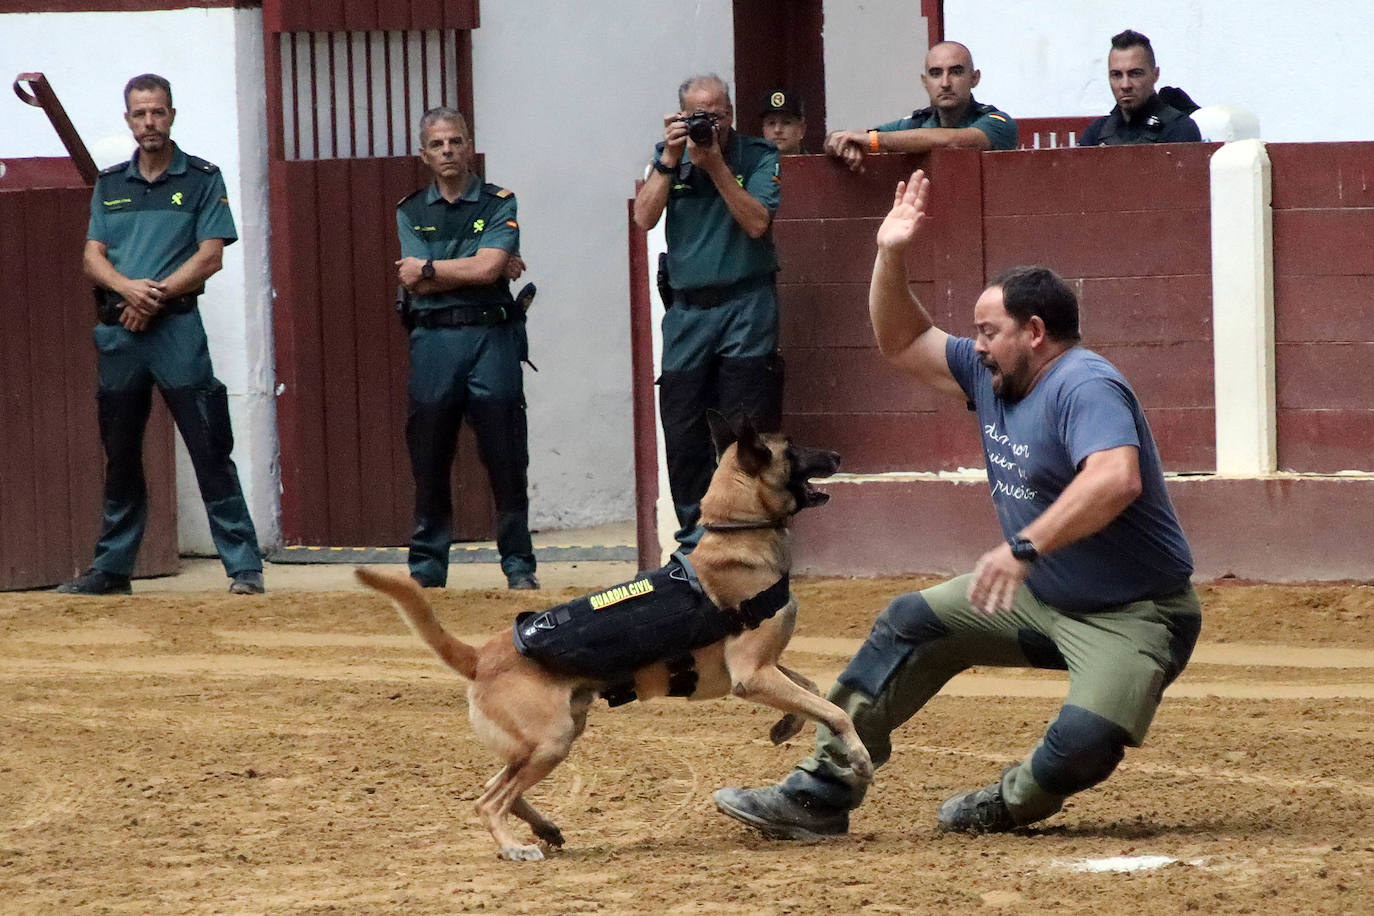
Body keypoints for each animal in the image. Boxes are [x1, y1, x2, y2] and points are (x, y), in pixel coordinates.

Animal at [354, 414, 868, 862]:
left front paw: (787, 726)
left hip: (551, 737)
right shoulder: (753, 675)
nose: (839, 454)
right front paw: (858, 755)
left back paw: (543, 827)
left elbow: (813, 690)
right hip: (552, 741)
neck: (737, 535)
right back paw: (515, 847)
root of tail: (480, 656)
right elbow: (835, 710)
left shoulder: (766, 670)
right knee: (489, 801)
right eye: (792, 448)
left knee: (496, 787)